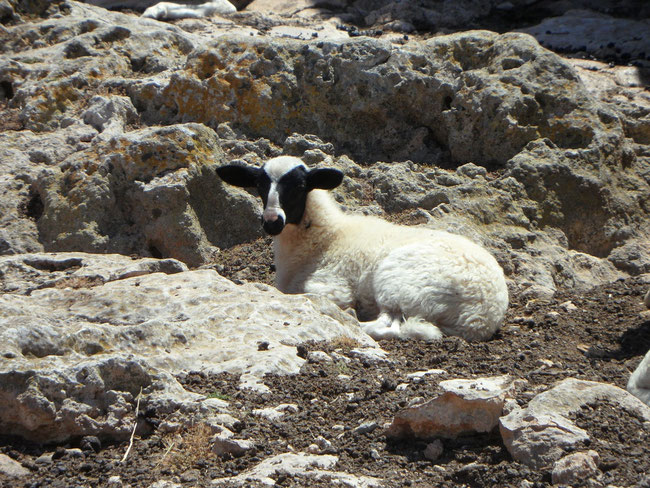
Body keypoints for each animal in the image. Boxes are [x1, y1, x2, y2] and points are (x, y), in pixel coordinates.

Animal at [215, 156, 508, 340]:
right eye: (259, 184)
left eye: (299, 185)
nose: (272, 221)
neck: (325, 237)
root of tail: (481, 318)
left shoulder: (331, 284)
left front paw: (346, 311)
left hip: (401, 282)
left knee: (390, 324)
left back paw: (355, 321)